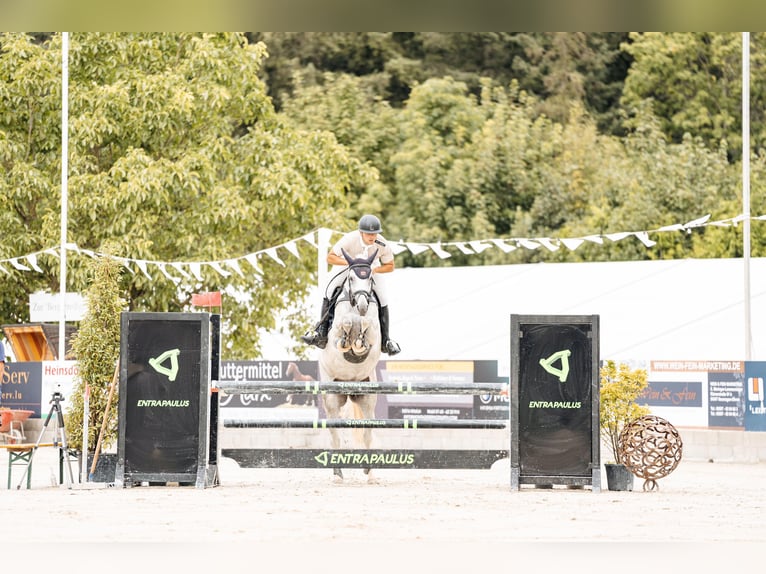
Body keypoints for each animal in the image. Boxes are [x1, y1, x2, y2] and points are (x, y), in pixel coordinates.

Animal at [320, 250, 382, 484]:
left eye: (370, 278)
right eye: (352, 278)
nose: (363, 306)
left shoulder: (375, 335)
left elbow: (368, 327)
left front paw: (359, 339)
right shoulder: (335, 333)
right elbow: (345, 324)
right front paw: (349, 338)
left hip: (367, 399)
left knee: (367, 433)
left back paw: (370, 473)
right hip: (331, 398)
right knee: (335, 434)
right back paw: (337, 474)